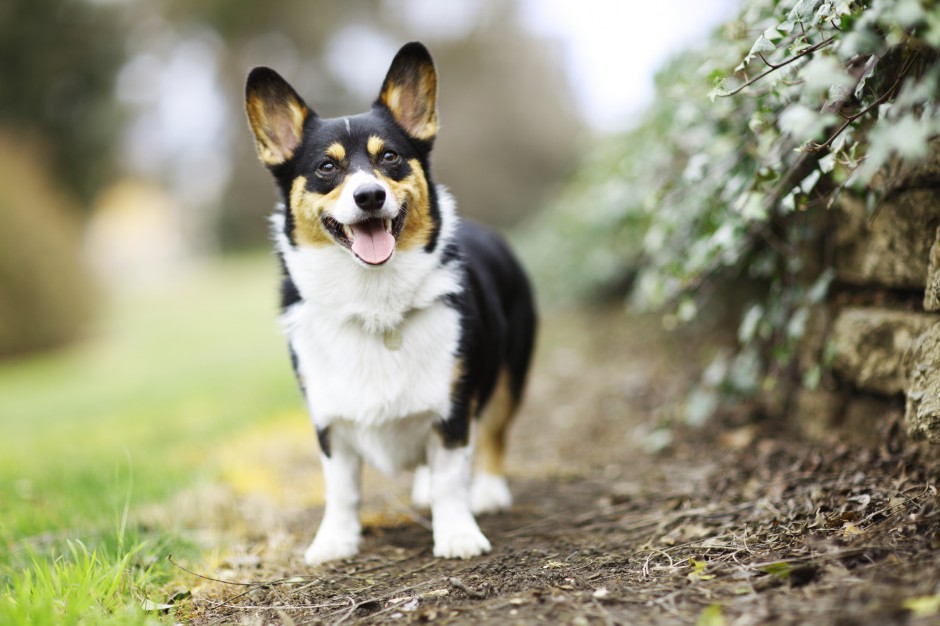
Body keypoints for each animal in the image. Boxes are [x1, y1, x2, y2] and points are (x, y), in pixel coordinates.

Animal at [242, 44, 536, 560]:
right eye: (327, 167)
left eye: (391, 157)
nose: (370, 195)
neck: (372, 298)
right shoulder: (328, 421)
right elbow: (342, 490)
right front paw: (335, 541)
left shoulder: (454, 408)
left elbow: (452, 477)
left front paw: (457, 534)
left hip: (510, 374)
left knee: (495, 433)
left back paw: (489, 490)